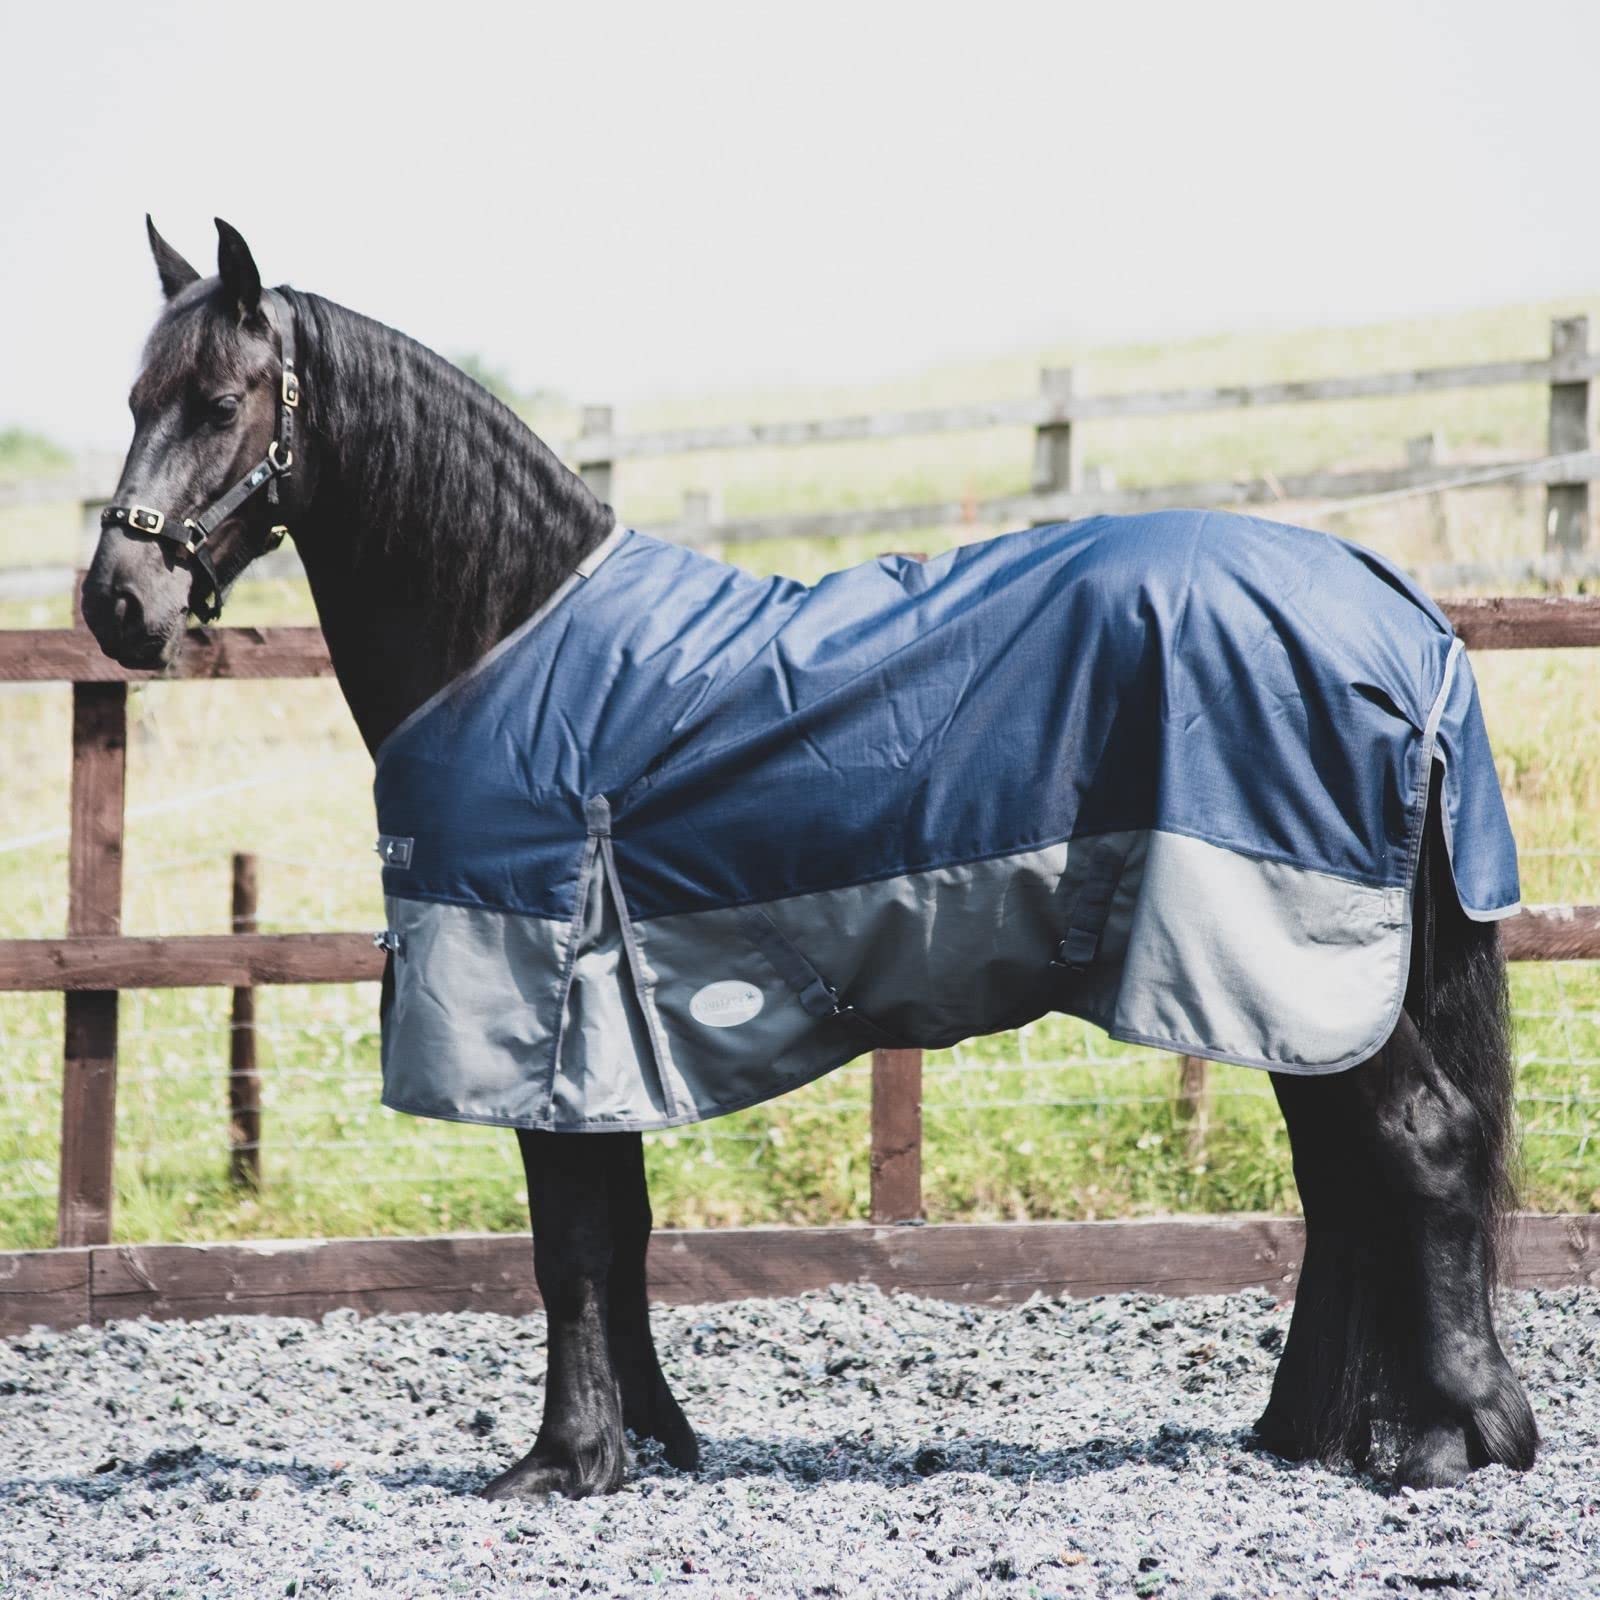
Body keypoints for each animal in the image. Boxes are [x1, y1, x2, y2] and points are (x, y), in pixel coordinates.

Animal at [81, 218, 1539, 1498]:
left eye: (220, 401)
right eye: (136, 397)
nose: (116, 604)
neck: (514, 645)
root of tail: (1395, 613)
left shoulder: (543, 996)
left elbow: (568, 1244)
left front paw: (564, 1460)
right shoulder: (606, 1027)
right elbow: (621, 1229)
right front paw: (649, 1439)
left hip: (1289, 961)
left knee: (1420, 1143)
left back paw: (1456, 1437)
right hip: (1292, 988)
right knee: (1342, 1178)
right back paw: (1303, 1431)